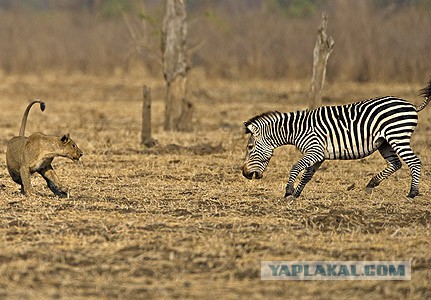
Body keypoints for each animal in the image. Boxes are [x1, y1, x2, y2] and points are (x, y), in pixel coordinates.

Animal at [243, 79, 431, 198]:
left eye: (250, 147)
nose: (244, 173)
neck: (297, 130)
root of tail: (411, 105)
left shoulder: (315, 150)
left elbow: (296, 167)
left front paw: (289, 191)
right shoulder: (319, 155)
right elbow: (307, 175)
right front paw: (296, 194)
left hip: (398, 136)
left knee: (414, 162)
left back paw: (412, 193)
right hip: (384, 142)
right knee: (395, 163)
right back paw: (371, 184)